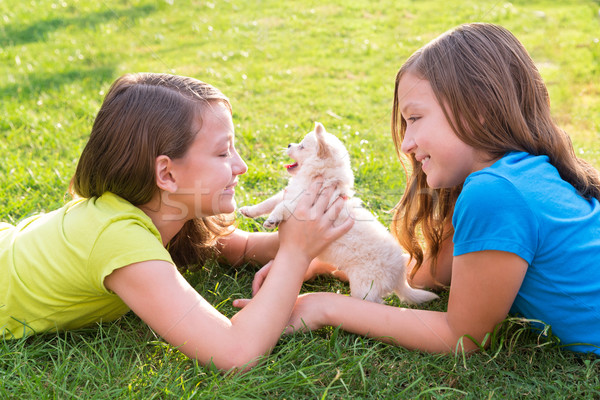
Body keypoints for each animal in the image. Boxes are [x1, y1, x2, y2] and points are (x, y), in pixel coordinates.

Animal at [237, 122, 438, 304]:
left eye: (301, 146)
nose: (288, 145)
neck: (318, 178)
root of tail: (400, 275)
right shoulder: (290, 193)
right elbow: (270, 202)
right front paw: (249, 210)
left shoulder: (304, 206)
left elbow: (282, 206)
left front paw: (273, 219)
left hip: (365, 288)